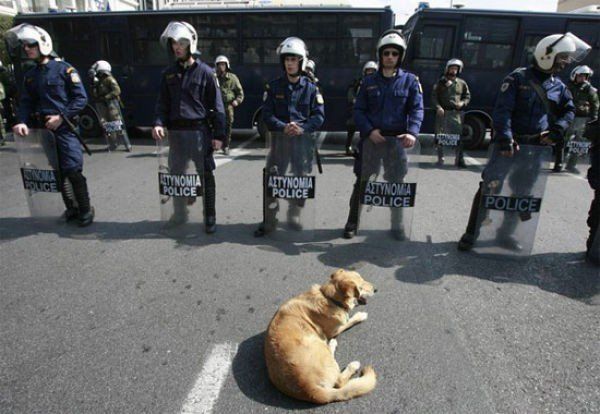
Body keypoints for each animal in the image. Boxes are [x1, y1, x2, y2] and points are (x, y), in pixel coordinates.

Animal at [264, 268, 376, 404]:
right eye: (361, 287)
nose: (376, 289)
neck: (329, 298)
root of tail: (310, 390)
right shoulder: (336, 329)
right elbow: (350, 320)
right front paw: (360, 315)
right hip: (316, 344)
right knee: (339, 382)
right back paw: (350, 362)